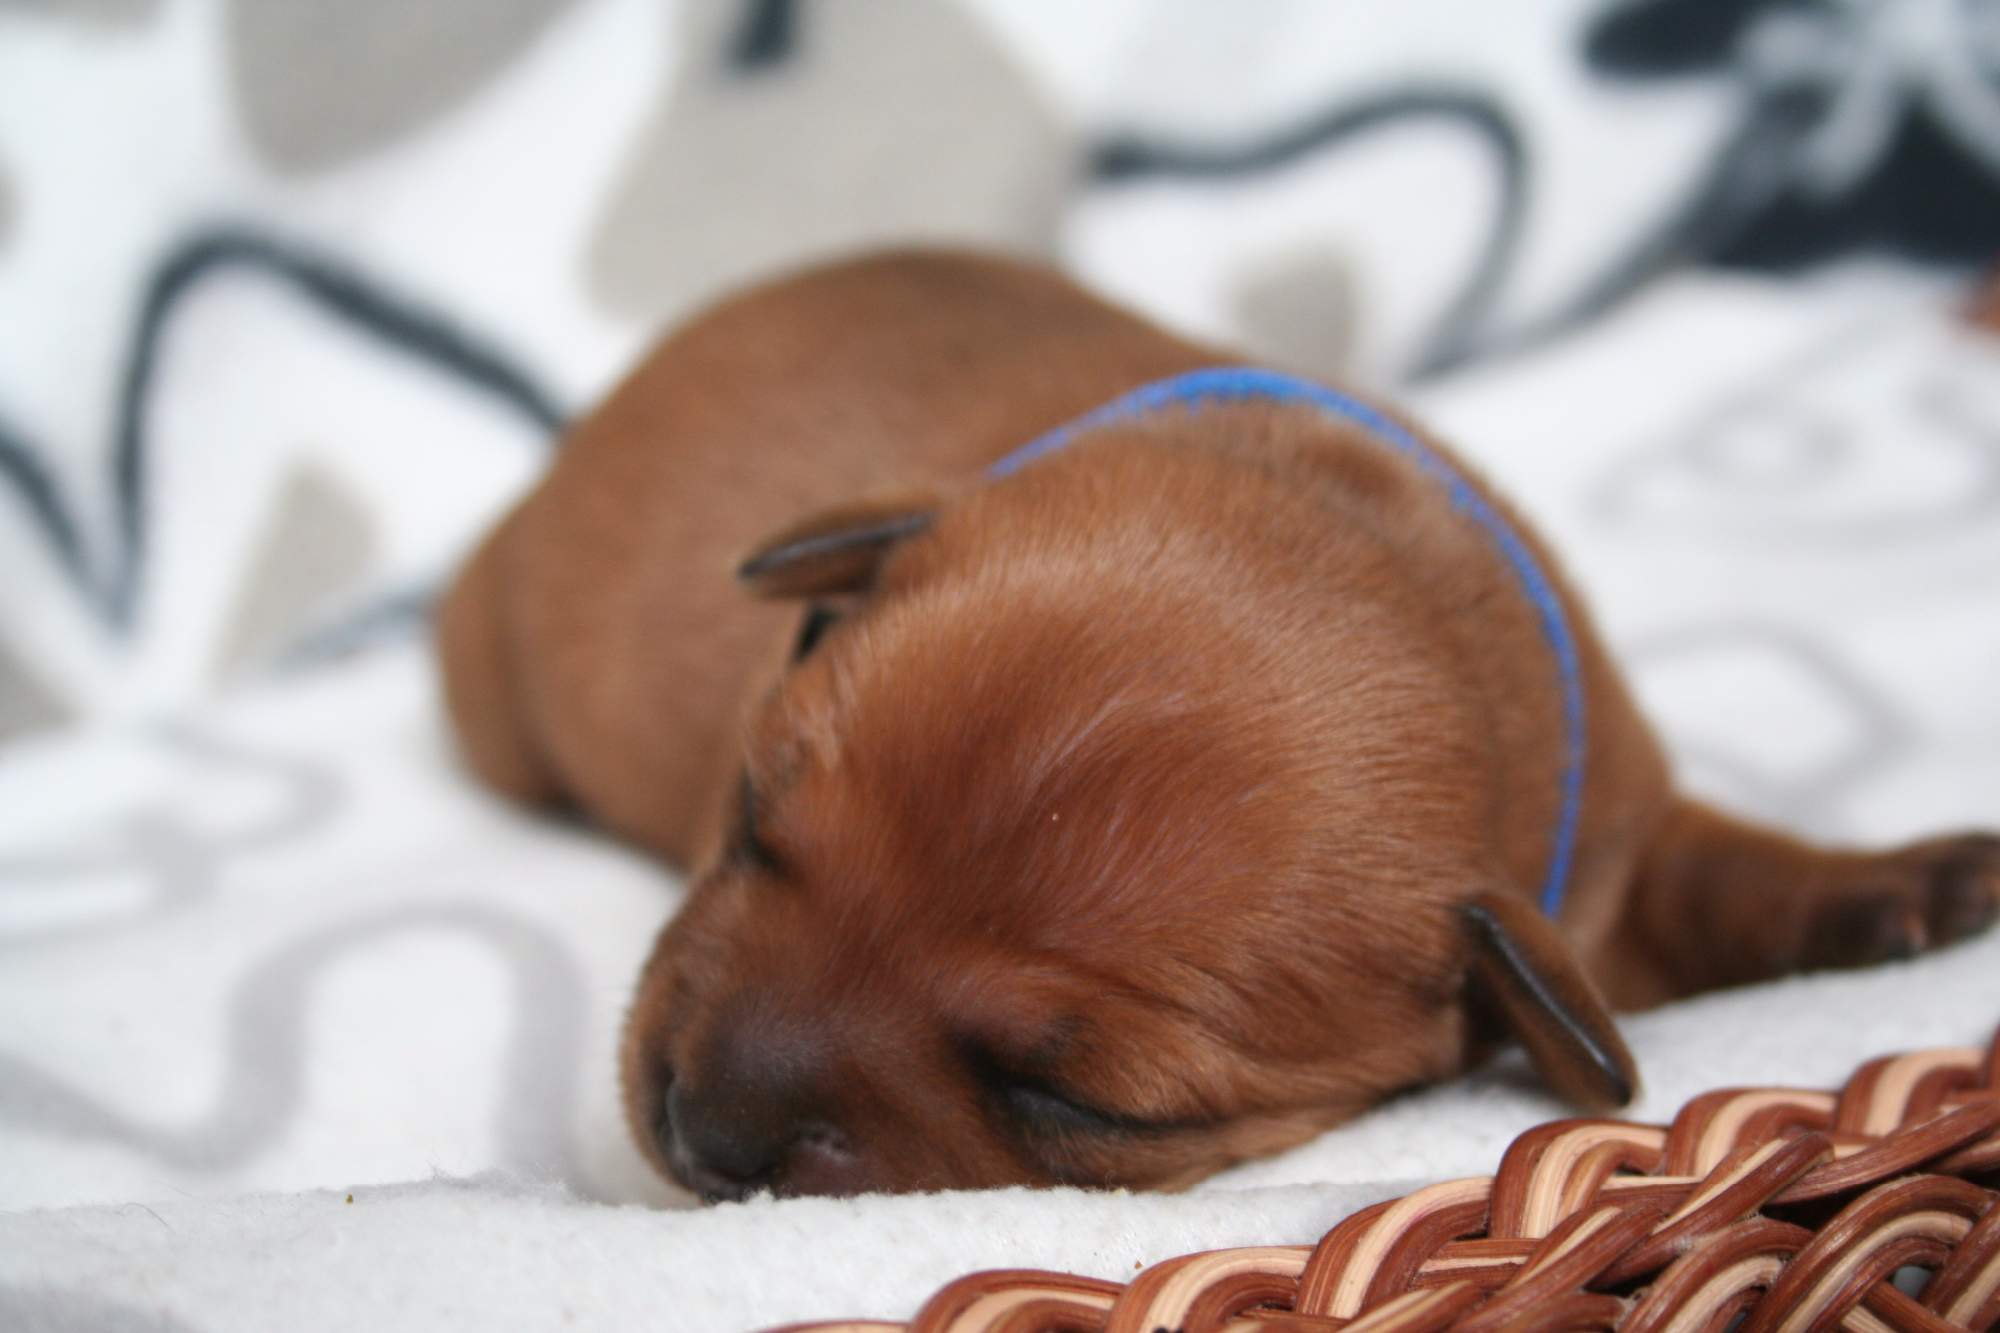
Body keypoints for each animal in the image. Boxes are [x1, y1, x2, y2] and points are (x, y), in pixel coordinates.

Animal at [437, 250, 1999, 1200]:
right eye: (750, 816)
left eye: (1067, 1097)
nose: (702, 1128)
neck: (1376, 547)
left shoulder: (1614, 845)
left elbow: (1721, 867)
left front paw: (1902, 884)